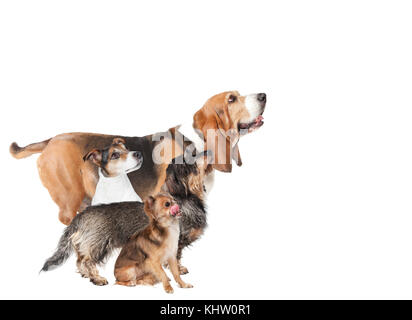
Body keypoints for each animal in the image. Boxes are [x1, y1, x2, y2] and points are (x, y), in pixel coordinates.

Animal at [40, 151, 209, 286]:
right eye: (191, 159)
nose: (207, 151)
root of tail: (81, 215)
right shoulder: (177, 242)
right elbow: (176, 258)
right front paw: (179, 270)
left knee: (79, 261)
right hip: (98, 244)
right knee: (86, 261)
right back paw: (96, 278)